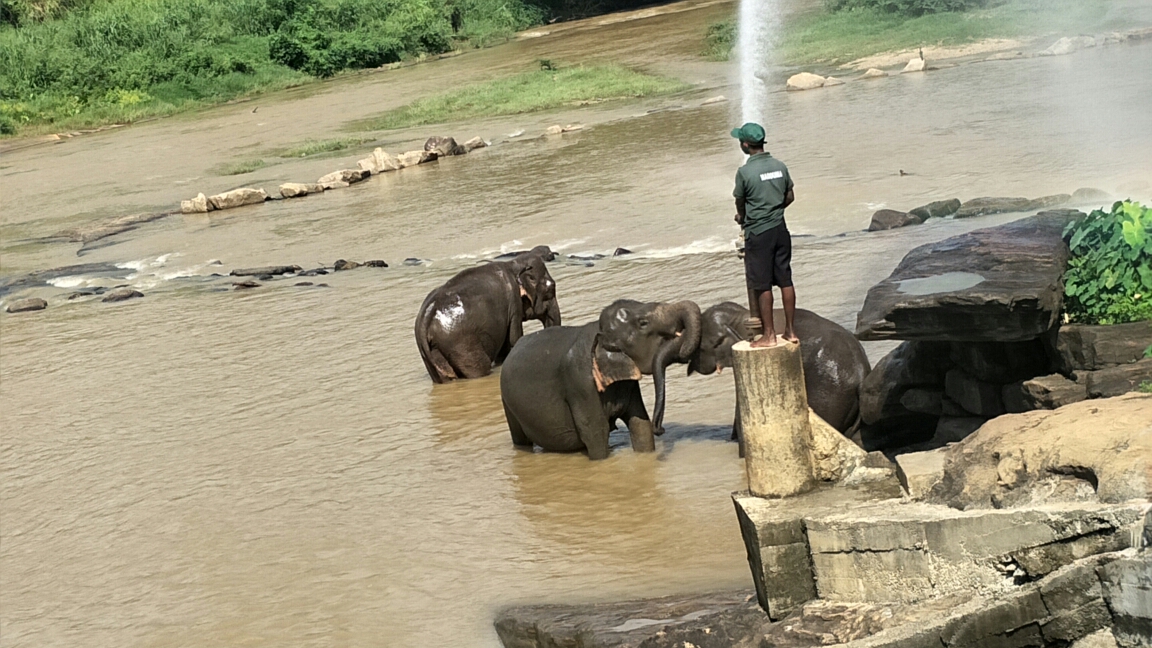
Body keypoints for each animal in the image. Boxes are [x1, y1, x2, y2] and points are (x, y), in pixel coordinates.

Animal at [417, 244, 559, 380]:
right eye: (552, 287)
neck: (513, 264)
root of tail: (426, 319)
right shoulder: (514, 306)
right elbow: (513, 339)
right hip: (461, 344)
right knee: (479, 367)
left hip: (433, 354)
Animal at [502, 299, 700, 456]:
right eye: (643, 323)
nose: (661, 429)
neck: (598, 329)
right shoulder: (581, 385)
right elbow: (596, 433)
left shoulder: (627, 384)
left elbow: (640, 424)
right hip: (508, 405)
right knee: (521, 440)